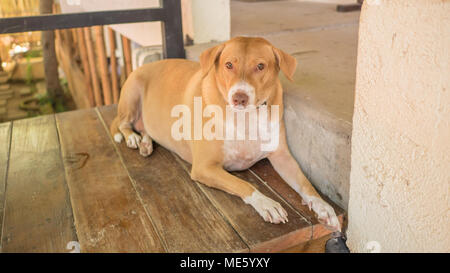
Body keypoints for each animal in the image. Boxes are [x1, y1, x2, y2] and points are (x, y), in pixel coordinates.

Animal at [110, 35, 340, 227]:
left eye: (260, 66)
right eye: (228, 65)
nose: (239, 97)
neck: (245, 117)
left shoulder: (282, 156)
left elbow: (305, 183)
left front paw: (323, 206)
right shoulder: (204, 167)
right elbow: (244, 185)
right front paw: (266, 203)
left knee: (145, 128)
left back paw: (146, 143)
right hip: (132, 94)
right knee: (122, 124)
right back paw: (133, 139)